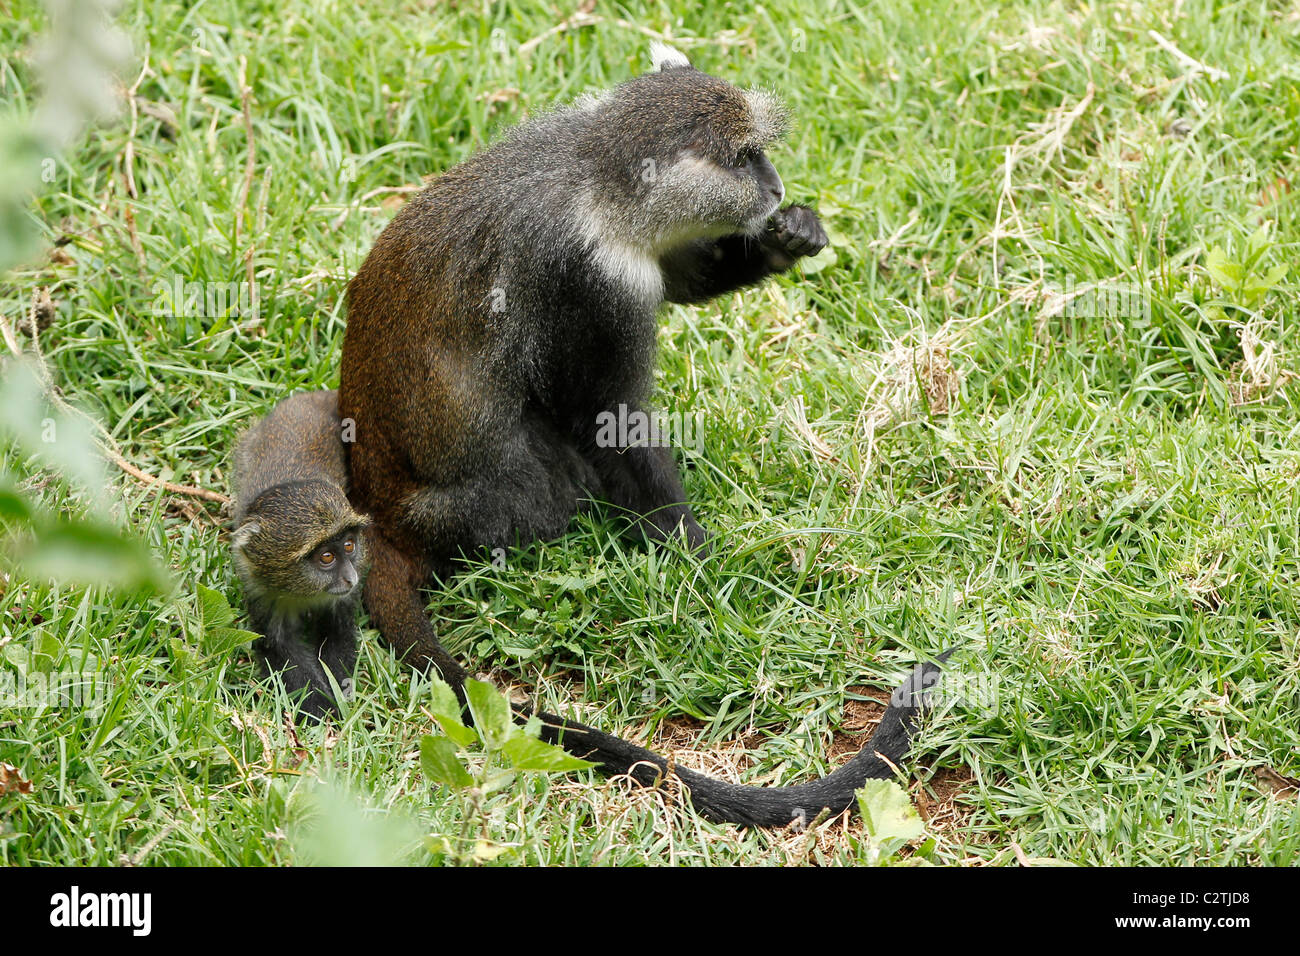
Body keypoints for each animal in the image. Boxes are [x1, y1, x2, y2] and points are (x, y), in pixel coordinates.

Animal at [230, 389, 370, 719]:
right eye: (326, 558)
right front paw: (322, 708)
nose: (351, 578)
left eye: (349, 545)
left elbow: (338, 633)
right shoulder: (258, 587)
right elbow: (278, 647)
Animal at [338, 45, 945, 826]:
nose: (775, 186)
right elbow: (606, 422)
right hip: (493, 504)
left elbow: (681, 278)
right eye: (744, 158)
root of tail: (379, 517)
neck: (596, 173)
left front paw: (792, 235)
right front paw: (700, 562)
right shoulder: (593, 282)